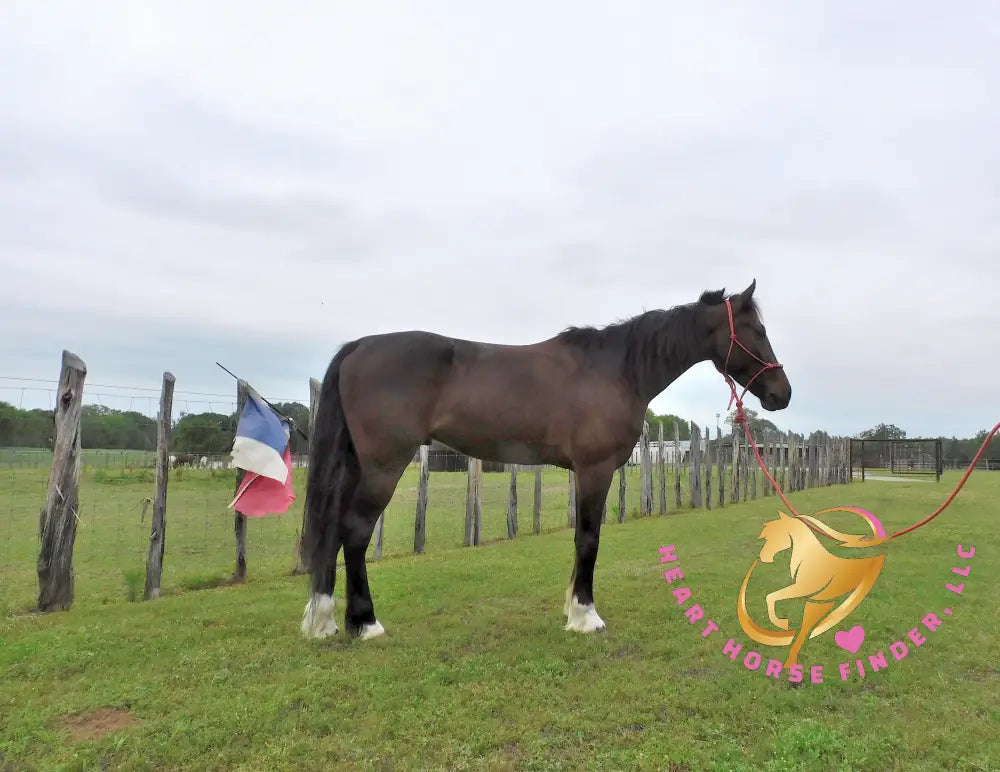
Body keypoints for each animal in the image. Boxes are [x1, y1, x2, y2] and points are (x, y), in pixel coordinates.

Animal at [300, 280, 792, 641]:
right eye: (758, 332)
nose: (782, 394)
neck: (617, 370)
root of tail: (358, 347)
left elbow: (579, 539)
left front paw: (573, 608)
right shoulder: (595, 470)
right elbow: (589, 539)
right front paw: (586, 616)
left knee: (336, 533)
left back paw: (326, 620)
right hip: (384, 467)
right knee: (355, 532)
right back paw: (364, 623)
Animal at [737, 510, 887, 668]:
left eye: (774, 534)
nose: (763, 557)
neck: (811, 560)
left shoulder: (804, 590)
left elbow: (772, 596)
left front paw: (781, 623)